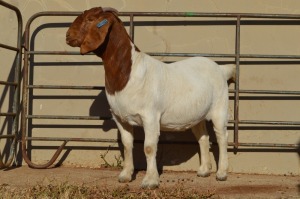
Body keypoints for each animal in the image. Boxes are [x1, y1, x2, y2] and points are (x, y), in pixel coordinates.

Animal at [67, 7, 236, 189]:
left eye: (90, 19)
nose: (67, 35)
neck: (129, 72)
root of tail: (221, 69)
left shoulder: (150, 116)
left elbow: (148, 147)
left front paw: (150, 181)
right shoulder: (120, 117)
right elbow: (127, 145)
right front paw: (125, 175)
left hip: (220, 108)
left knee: (222, 137)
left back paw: (222, 173)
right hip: (197, 115)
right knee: (203, 137)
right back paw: (204, 170)